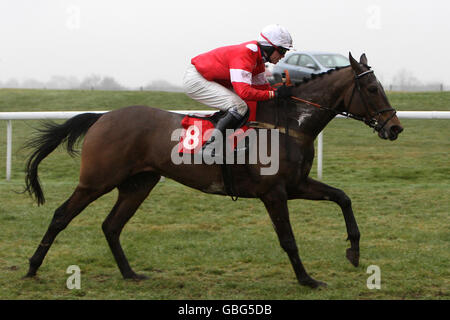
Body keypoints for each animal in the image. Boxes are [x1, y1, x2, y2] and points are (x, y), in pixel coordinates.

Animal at [22, 52, 404, 288]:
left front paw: (353, 252)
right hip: (96, 180)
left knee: (111, 226)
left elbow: (343, 198)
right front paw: (307, 280)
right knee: (61, 216)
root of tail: (102, 117)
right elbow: (288, 239)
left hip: (139, 183)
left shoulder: (297, 185)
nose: (395, 128)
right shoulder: (274, 193)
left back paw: (131, 274)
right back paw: (31, 268)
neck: (289, 124)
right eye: (373, 88)